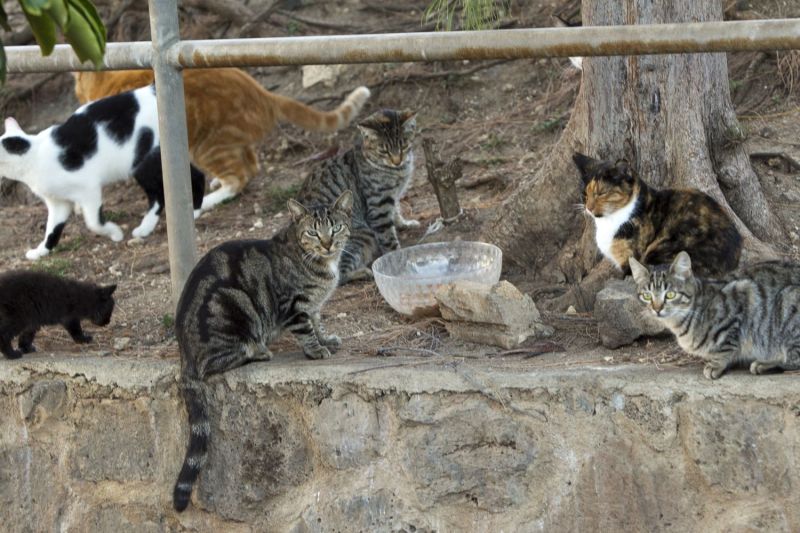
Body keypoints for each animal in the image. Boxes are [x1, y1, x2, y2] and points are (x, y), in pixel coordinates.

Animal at [0, 85, 206, 260]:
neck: (33, 157)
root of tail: (154, 88)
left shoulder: (88, 189)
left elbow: (94, 223)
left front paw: (115, 233)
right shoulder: (58, 204)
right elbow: (52, 229)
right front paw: (41, 251)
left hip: (146, 163)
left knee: (169, 189)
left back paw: (186, 213)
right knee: (187, 178)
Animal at [73, 69, 370, 211]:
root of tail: (263, 93)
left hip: (204, 145)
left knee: (239, 177)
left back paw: (207, 201)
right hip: (230, 142)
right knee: (251, 165)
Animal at [173, 191, 352, 512]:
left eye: (335, 228)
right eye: (313, 232)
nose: (327, 243)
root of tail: (185, 354)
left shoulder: (313, 307)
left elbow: (318, 320)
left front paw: (327, 339)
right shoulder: (294, 305)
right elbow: (306, 330)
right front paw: (317, 349)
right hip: (236, 313)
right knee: (215, 362)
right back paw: (258, 351)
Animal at [296, 106, 418, 284]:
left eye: (403, 146)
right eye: (384, 151)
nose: (397, 161)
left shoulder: (393, 197)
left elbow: (396, 211)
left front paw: (404, 223)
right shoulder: (378, 205)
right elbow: (388, 237)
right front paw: (397, 256)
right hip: (363, 234)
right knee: (339, 275)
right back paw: (362, 272)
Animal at [636, 252, 800, 378]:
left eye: (670, 294)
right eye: (647, 296)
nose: (657, 309)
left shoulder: (743, 293)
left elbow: (726, 344)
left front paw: (716, 364)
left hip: (788, 299)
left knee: (795, 361)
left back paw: (764, 365)